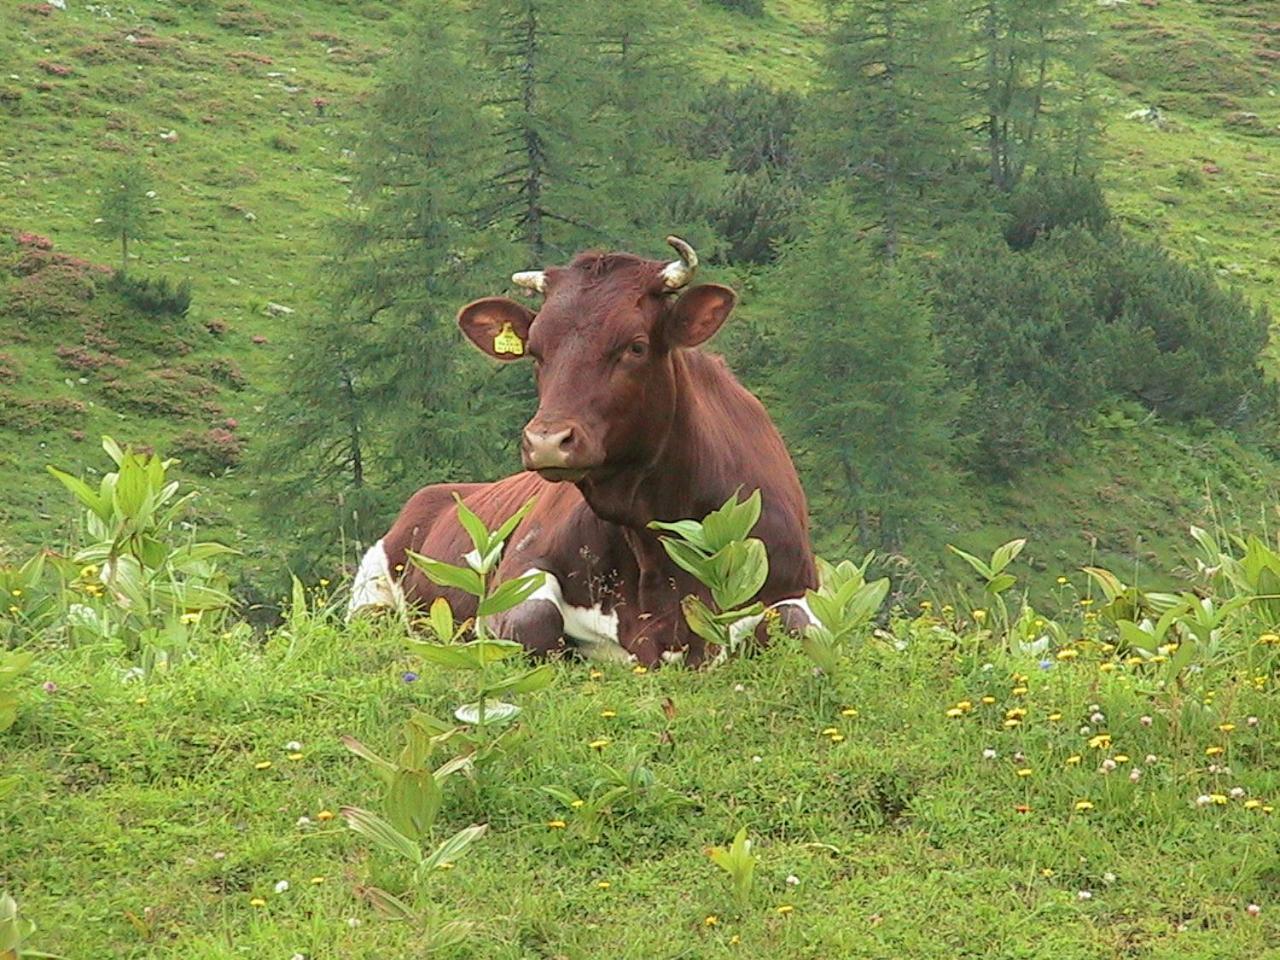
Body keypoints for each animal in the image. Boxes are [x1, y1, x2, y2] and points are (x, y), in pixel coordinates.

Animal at [345, 236, 814, 665]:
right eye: (536, 352)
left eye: (635, 346)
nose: (547, 442)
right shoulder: (520, 566)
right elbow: (530, 620)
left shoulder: (796, 582)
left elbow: (793, 626)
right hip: (369, 593)